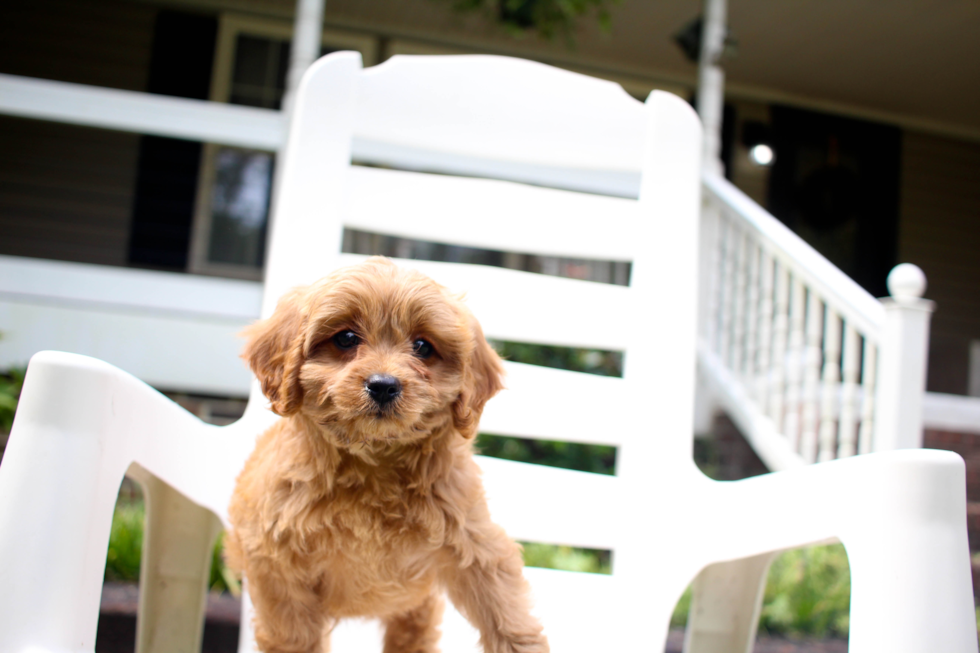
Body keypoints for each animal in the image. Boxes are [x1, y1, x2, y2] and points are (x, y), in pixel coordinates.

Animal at [226, 256, 548, 652]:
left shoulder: (475, 544)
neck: (374, 462)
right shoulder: (279, 567)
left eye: (423, 347)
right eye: (346, 338)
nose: (383, 385)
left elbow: (507, 616)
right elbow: (295, 638)